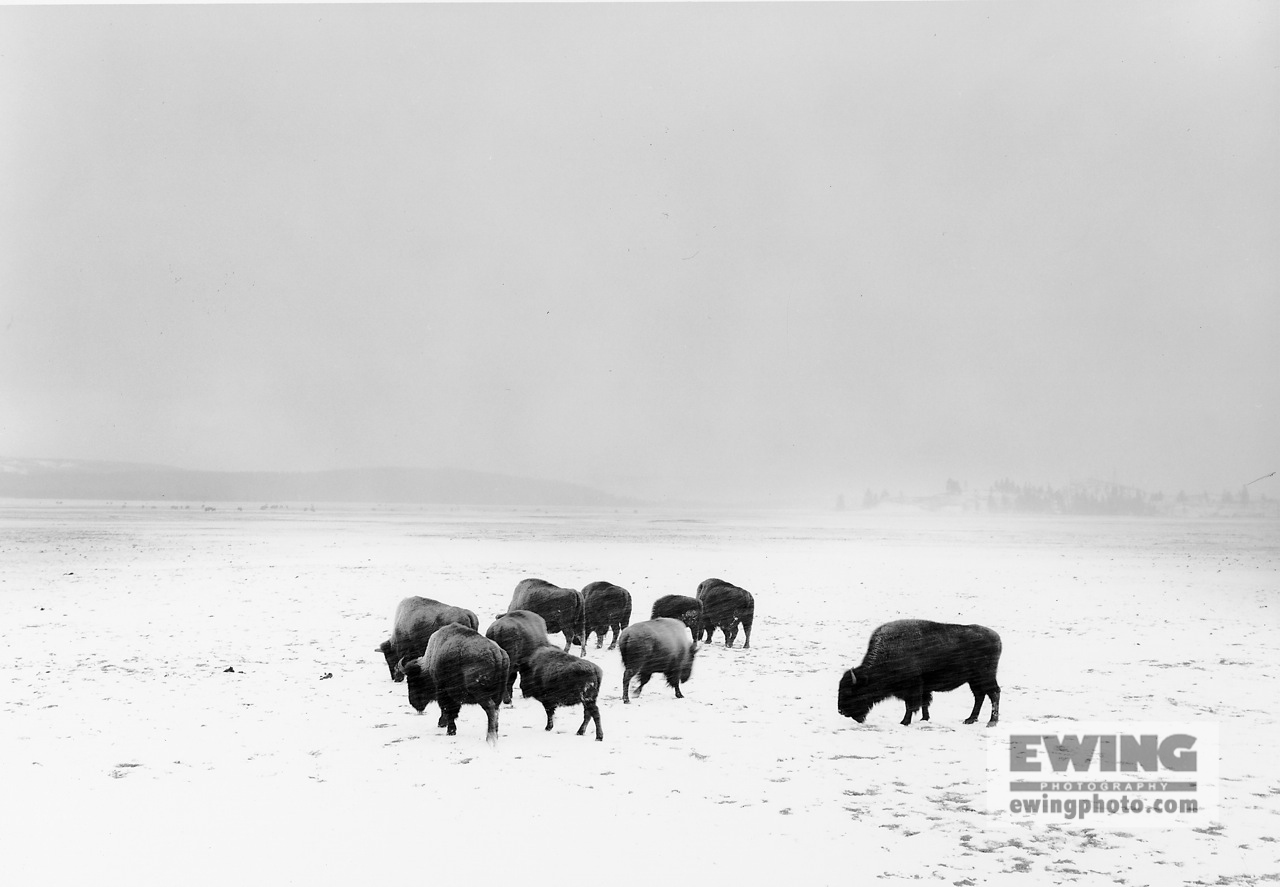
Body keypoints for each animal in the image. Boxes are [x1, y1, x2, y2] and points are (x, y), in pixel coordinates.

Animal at [834, 619, 1003, 721]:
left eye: (851, 691)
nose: (841, 711)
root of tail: (996, 637)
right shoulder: (923, 688)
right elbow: (924, 703)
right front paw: (924, 718)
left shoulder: (912, 688)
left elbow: (911, 705)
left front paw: (904, 722)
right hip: (973, 679)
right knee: (980, 696)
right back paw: (970, 720)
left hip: (985, 675)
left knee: (993, 693)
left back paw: (991, 721)